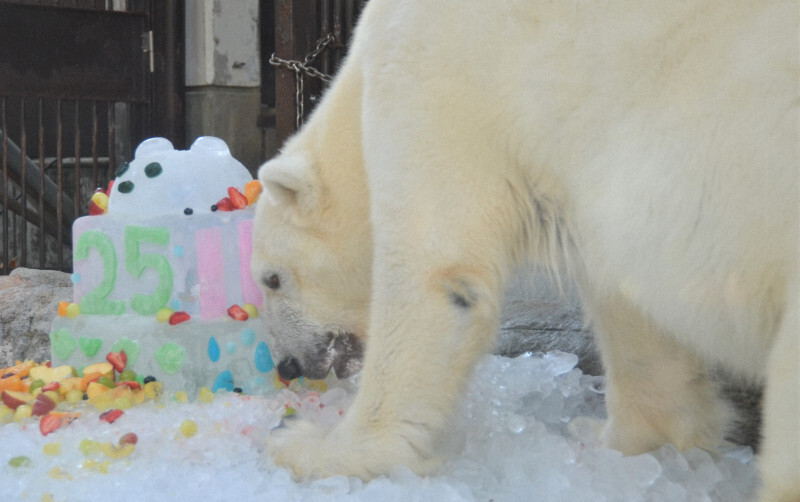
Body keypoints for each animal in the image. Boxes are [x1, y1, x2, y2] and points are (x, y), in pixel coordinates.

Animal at [253, 1, 796, 500]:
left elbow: (439, 276)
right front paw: (631, 443)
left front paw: (315, 448)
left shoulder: (433, 82)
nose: (288, 366)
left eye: (272, 278)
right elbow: (632, 315)